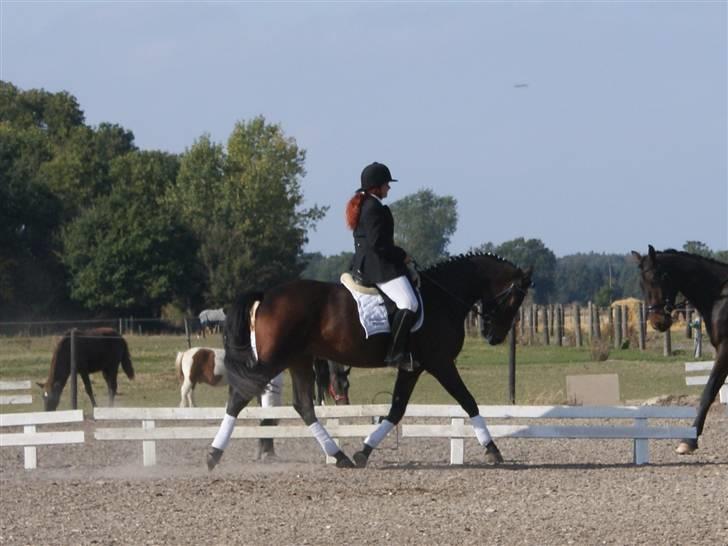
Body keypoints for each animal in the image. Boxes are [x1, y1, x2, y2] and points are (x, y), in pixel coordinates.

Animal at [208, 252, 532, 468]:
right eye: (515, 299)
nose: (494, 336)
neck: (442, 297)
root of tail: (267, 295)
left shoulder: (413, 367)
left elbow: (396, 410)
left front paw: (363, 451)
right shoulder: (440, 362)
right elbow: (468, 401)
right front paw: (492, 449)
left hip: (299, 359)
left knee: (304, 406)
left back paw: (339, 457)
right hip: (274, 359)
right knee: (239, 397)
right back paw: (213, 455)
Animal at [632, 244, 728, 452]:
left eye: (657, 278)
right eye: (641, 284)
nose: (657, 322)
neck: (720, 298)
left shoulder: (725, 349)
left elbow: (708, 392)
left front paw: (689, 441)